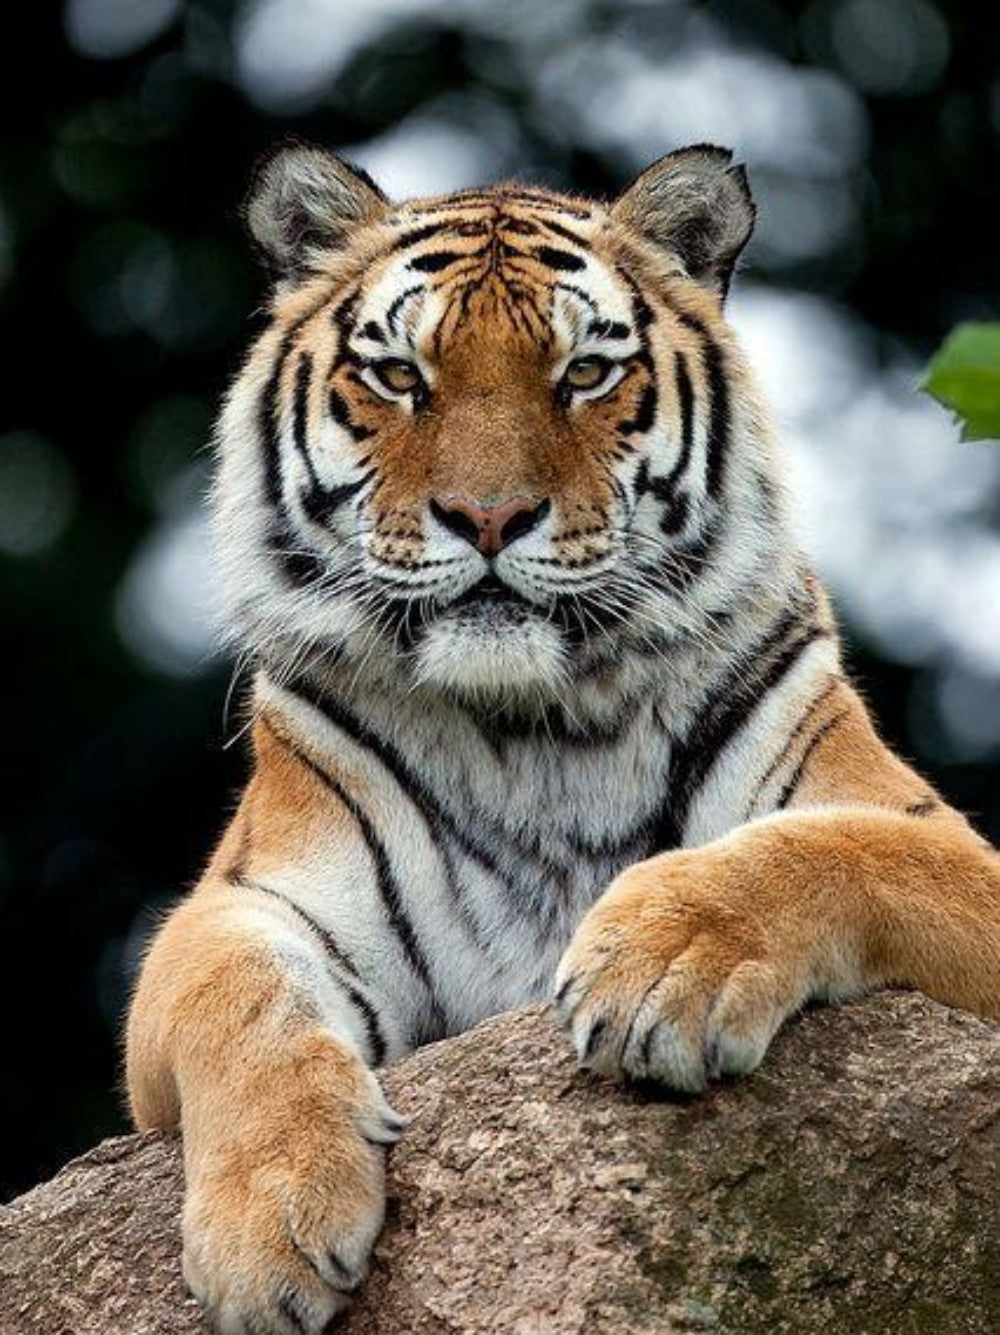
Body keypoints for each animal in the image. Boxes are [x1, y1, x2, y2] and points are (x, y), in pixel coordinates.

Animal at [125, 142, 1000, 1334]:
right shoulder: (242, 901)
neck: (538, 727)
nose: (488, 518)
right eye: (398, 376)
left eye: (583, 373)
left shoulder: (933, 839)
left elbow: (833, 848)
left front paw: (661, 958)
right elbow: (240, 999)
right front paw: (272, 1226)